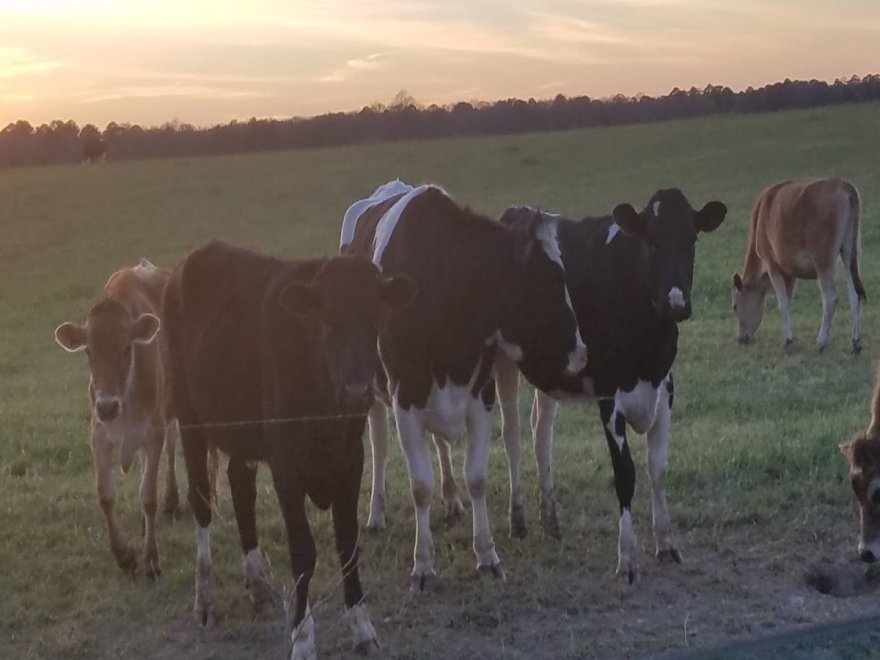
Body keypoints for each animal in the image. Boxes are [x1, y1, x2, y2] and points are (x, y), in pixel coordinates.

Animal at [162, 238, 416, 660]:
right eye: (327, 320)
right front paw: (302, 636)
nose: (357, 389)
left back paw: (257, 584)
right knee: (201, 502)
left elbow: (347, 544)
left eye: (375, 320)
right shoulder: (287, 467)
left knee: (240, 486)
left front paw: (362, 626)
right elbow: (304, 552)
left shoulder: (351, 460)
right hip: (189, 418)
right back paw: (205, 599)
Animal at [342, 183, 584, 592]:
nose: (581, 354)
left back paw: (453, 501)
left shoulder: (479, 393)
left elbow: (477, 478)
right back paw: (376, 513)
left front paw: (487, 556)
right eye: (547, 284)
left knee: (440, 445)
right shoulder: (405, 396)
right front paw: (423, 566)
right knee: (379, 444)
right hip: (373, 389)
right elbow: (420, 486)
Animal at [492, 189, 724, 584]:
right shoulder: (608, 396)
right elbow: (625, 474)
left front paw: (666, 544)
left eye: (692, 240)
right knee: (512, 432)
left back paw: (550, 521)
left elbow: (658, 468)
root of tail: (519, 211)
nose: (675, 303)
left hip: (550, 369)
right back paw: (518, 520)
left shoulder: (666, 389)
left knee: (541, 433)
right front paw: (627, 558)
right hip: (500, 358)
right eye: (650, 242)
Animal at [728, 175, 868, 350]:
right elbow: (787, 302)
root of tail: (844, 185)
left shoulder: (772, 263)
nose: (741, 338)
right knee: (854, 294)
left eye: (735, 306)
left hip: (823, 260)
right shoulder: (790, 271)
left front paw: (787, 340)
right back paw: (855, 341)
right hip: (852, 253)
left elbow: (782, 305)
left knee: (831, 299)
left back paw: (821, 342)